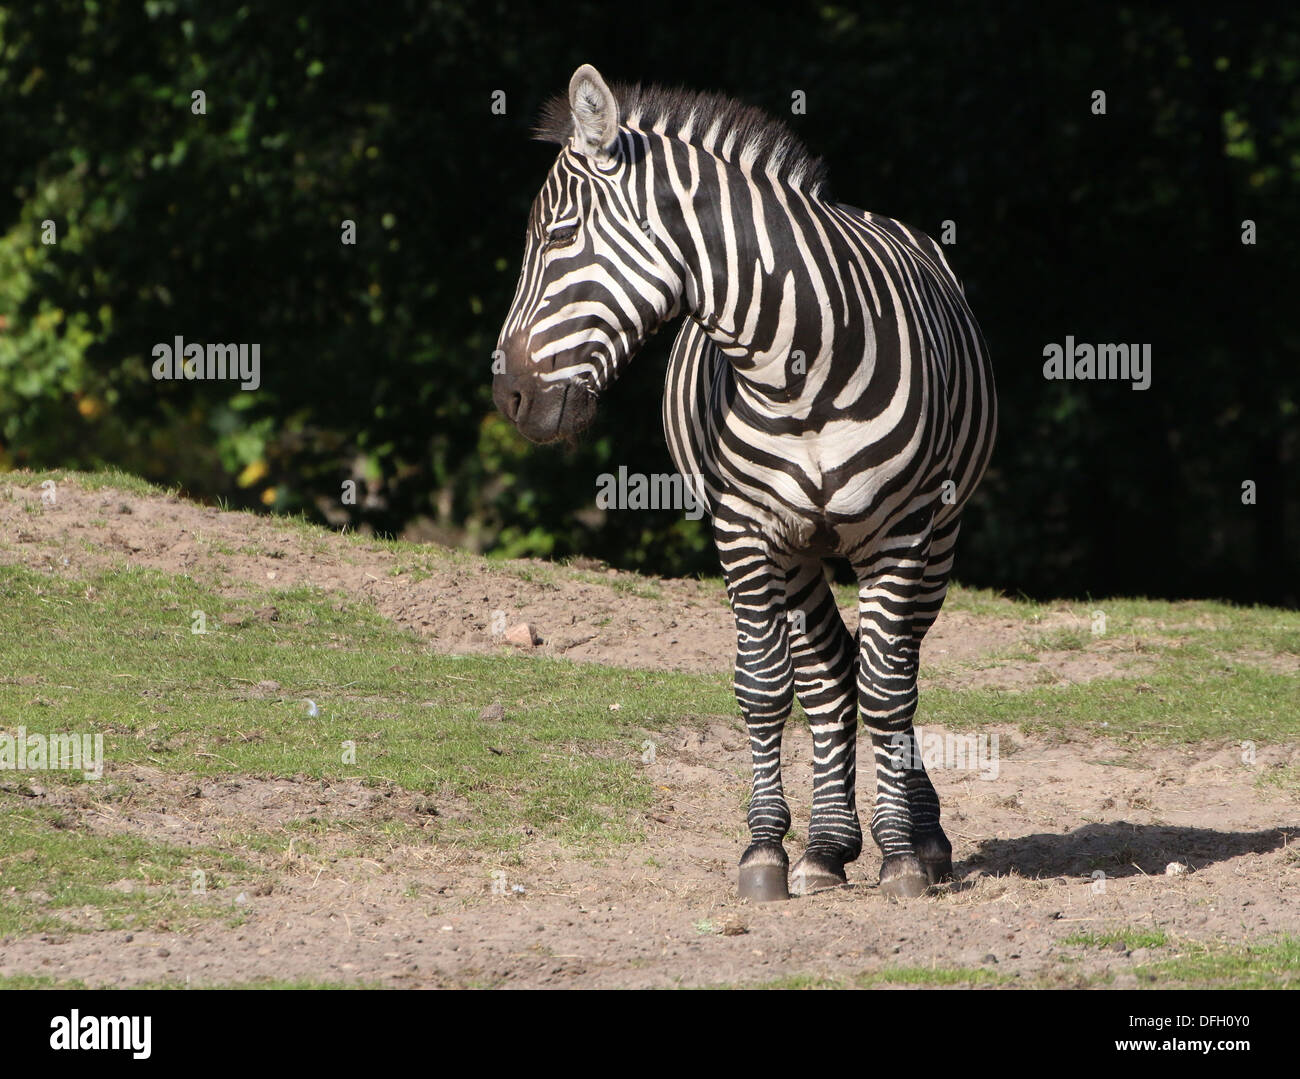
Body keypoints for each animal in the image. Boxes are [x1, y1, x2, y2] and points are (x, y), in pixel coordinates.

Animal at [493, 65, 996, 901]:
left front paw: (901, 854)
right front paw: (765, 849)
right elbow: (766, 687)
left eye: (558, 239)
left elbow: (889, 687)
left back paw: (920, 836)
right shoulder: (747, 530)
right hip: (799, 549)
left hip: (939, 533)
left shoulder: (899, 529)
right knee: (828, 672)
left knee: (897, 665)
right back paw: (826, 846)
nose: (509, 398)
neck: (800, 366)